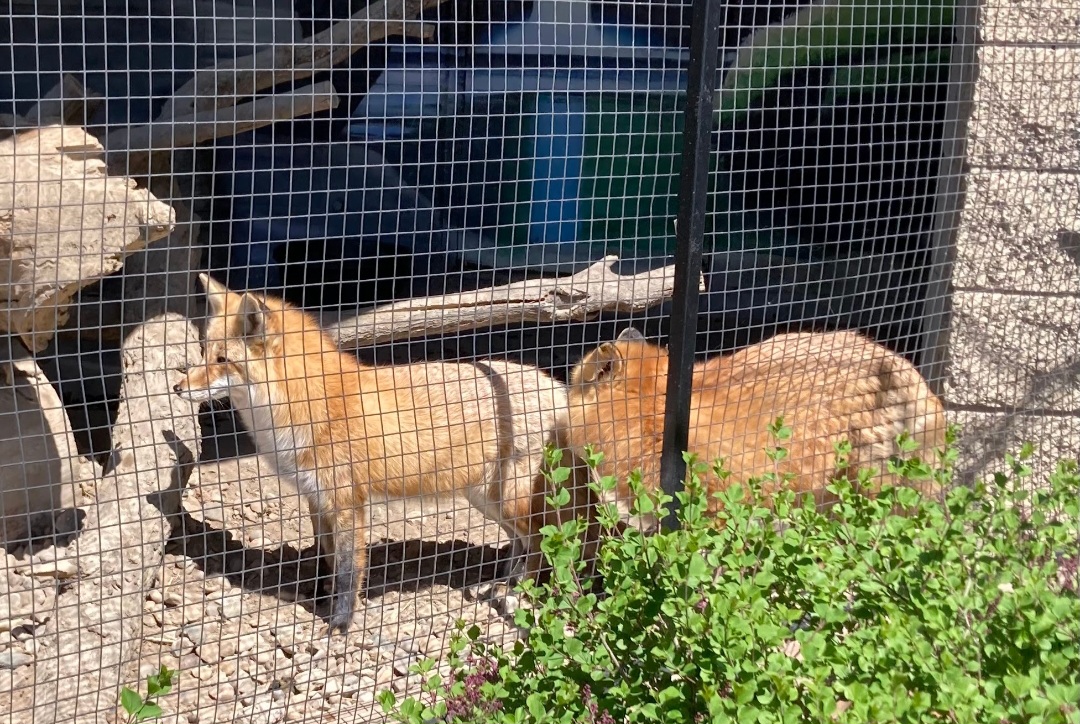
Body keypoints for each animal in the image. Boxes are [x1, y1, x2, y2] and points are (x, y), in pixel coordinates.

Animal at [174, 273, 590, 632]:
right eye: (204, 353)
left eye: (223, 361)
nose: (178, 388)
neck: (303, 405)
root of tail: (557, 389)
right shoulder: (316, 500)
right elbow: (327, 559)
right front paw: (321, 596)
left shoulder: (347, 502)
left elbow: (348, 570)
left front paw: (341, 623)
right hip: (486, 500)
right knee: (524, 543)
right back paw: (505, 582)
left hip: (507, 499)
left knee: (542, 540)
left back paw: (520, 591)